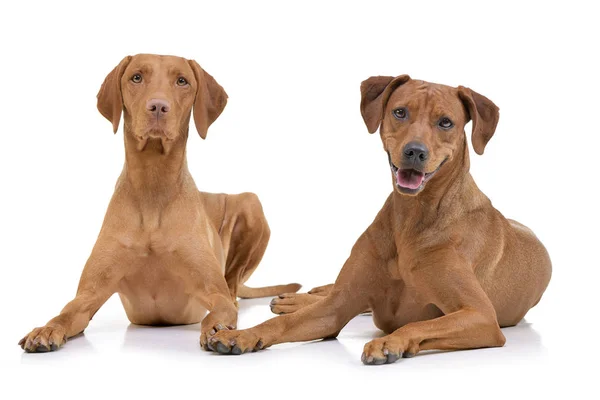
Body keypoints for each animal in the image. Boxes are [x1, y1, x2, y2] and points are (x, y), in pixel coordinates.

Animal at [18, 54, 300, 354]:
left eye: (182, 81)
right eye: (136, 77)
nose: (158, 106)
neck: (153, 185)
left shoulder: (214, 291)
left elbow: (218, 309)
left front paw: (219, 328)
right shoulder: (88, 295)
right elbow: (64, 313)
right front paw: (46, 329)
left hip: (250, 202)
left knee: (233, 287)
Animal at [204, 74, 552, 362]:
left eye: (445, 122)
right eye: (400, 112)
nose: (415, 151)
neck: (412, 217)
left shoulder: (481, 316)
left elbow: (416, 326)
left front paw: (389, 343)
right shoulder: (336, 308)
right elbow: (284, 322)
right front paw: (241, 335)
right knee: (330, 294)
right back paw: (298, 298)